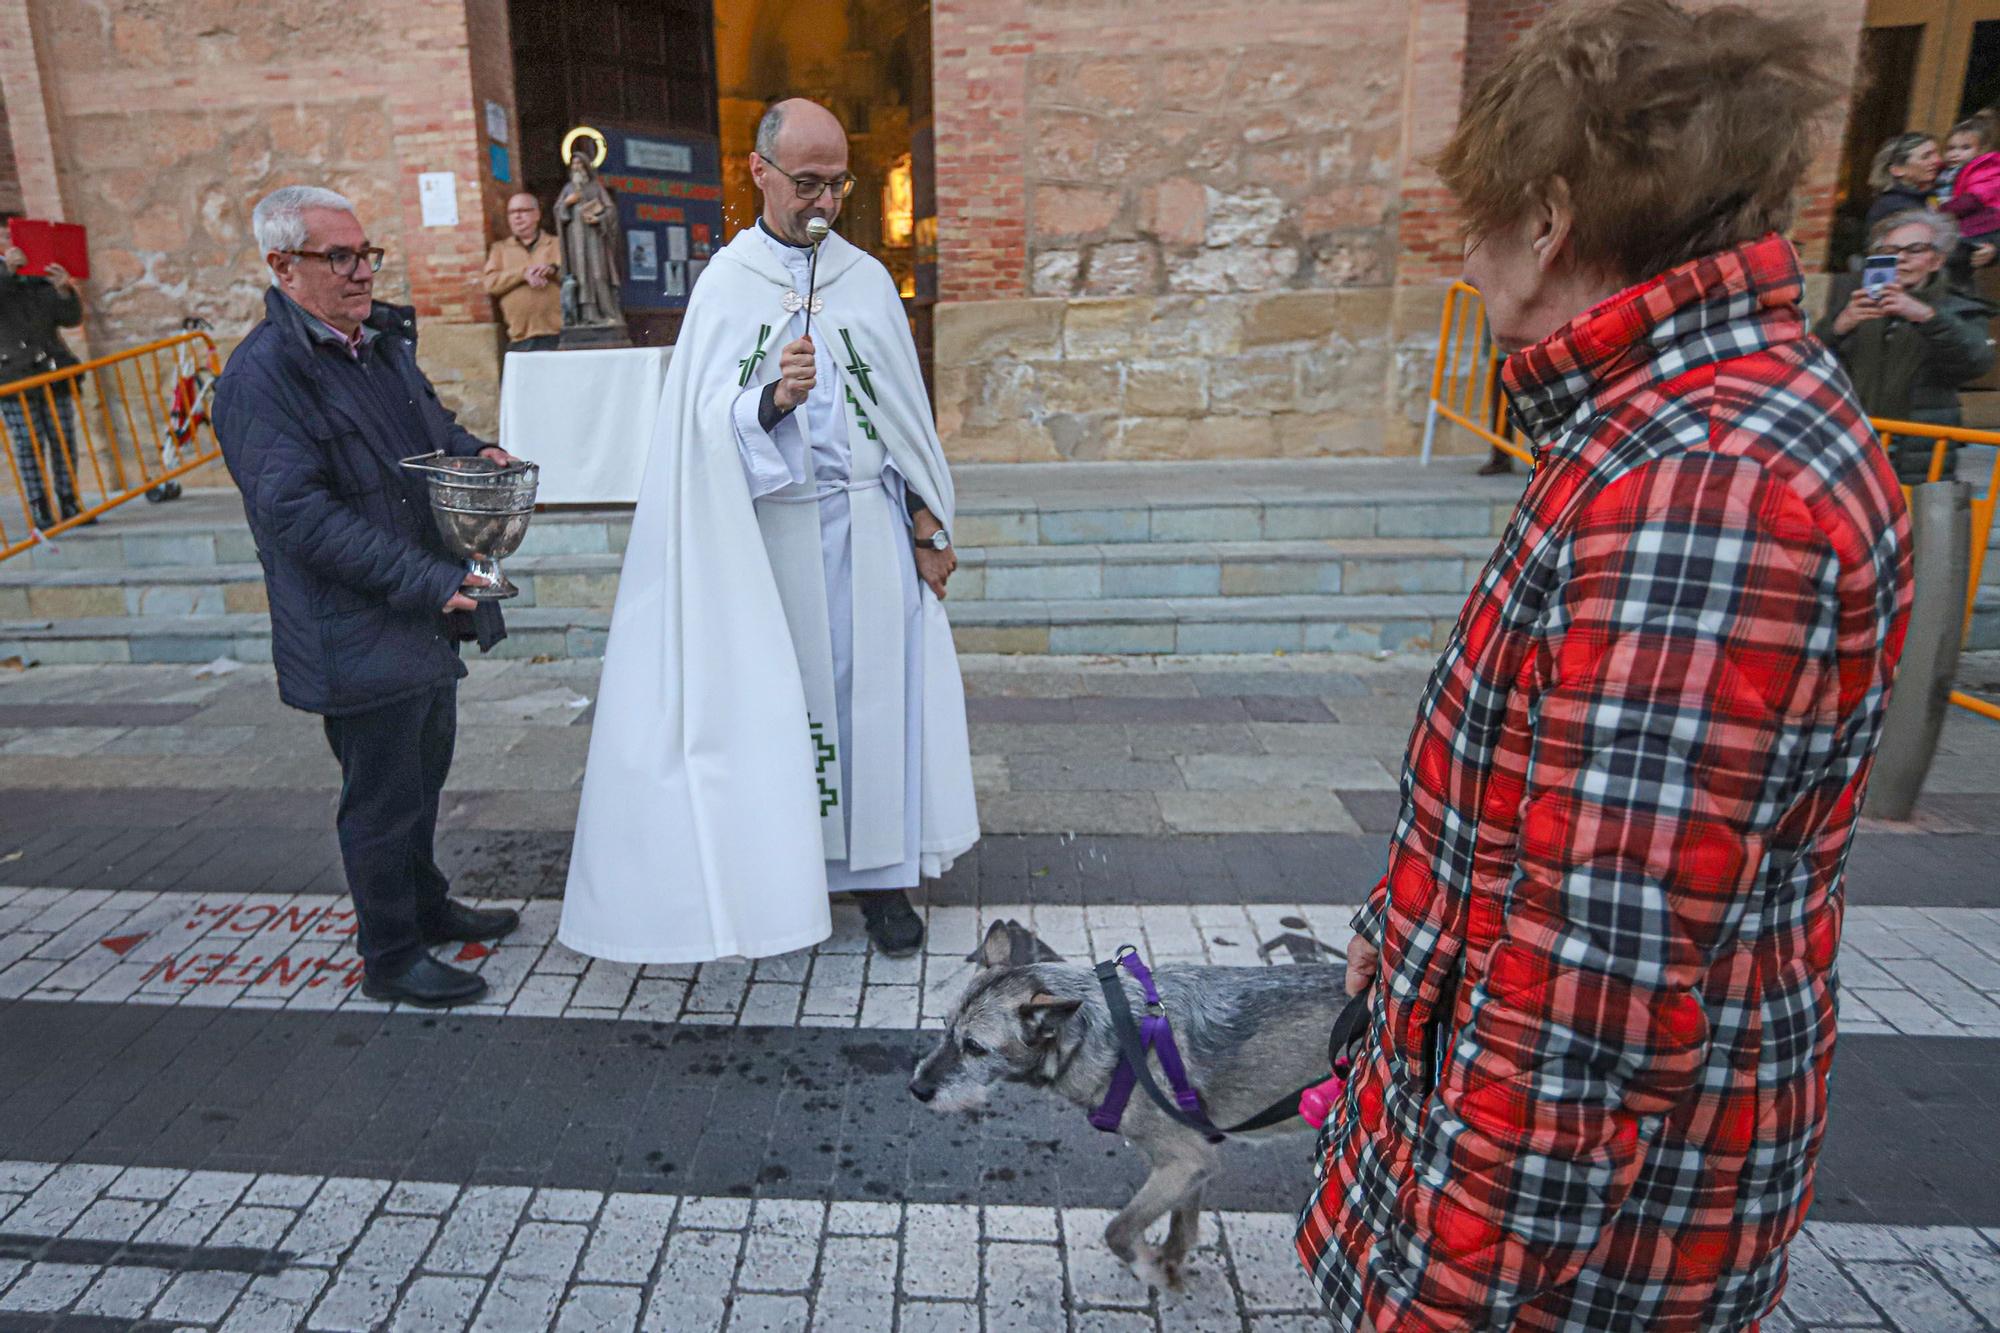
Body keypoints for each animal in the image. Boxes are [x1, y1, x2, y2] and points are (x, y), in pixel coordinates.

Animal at [916, 920, 1352, 1280]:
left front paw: (1150, 1271)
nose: (917, 1089)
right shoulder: (1193, 1165)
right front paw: (1170, 1265)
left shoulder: (1184, 1162)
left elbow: (1118, 1231)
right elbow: (1181, 1227)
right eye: (944, 1027)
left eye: (974, 1047)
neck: (1110, 1032)